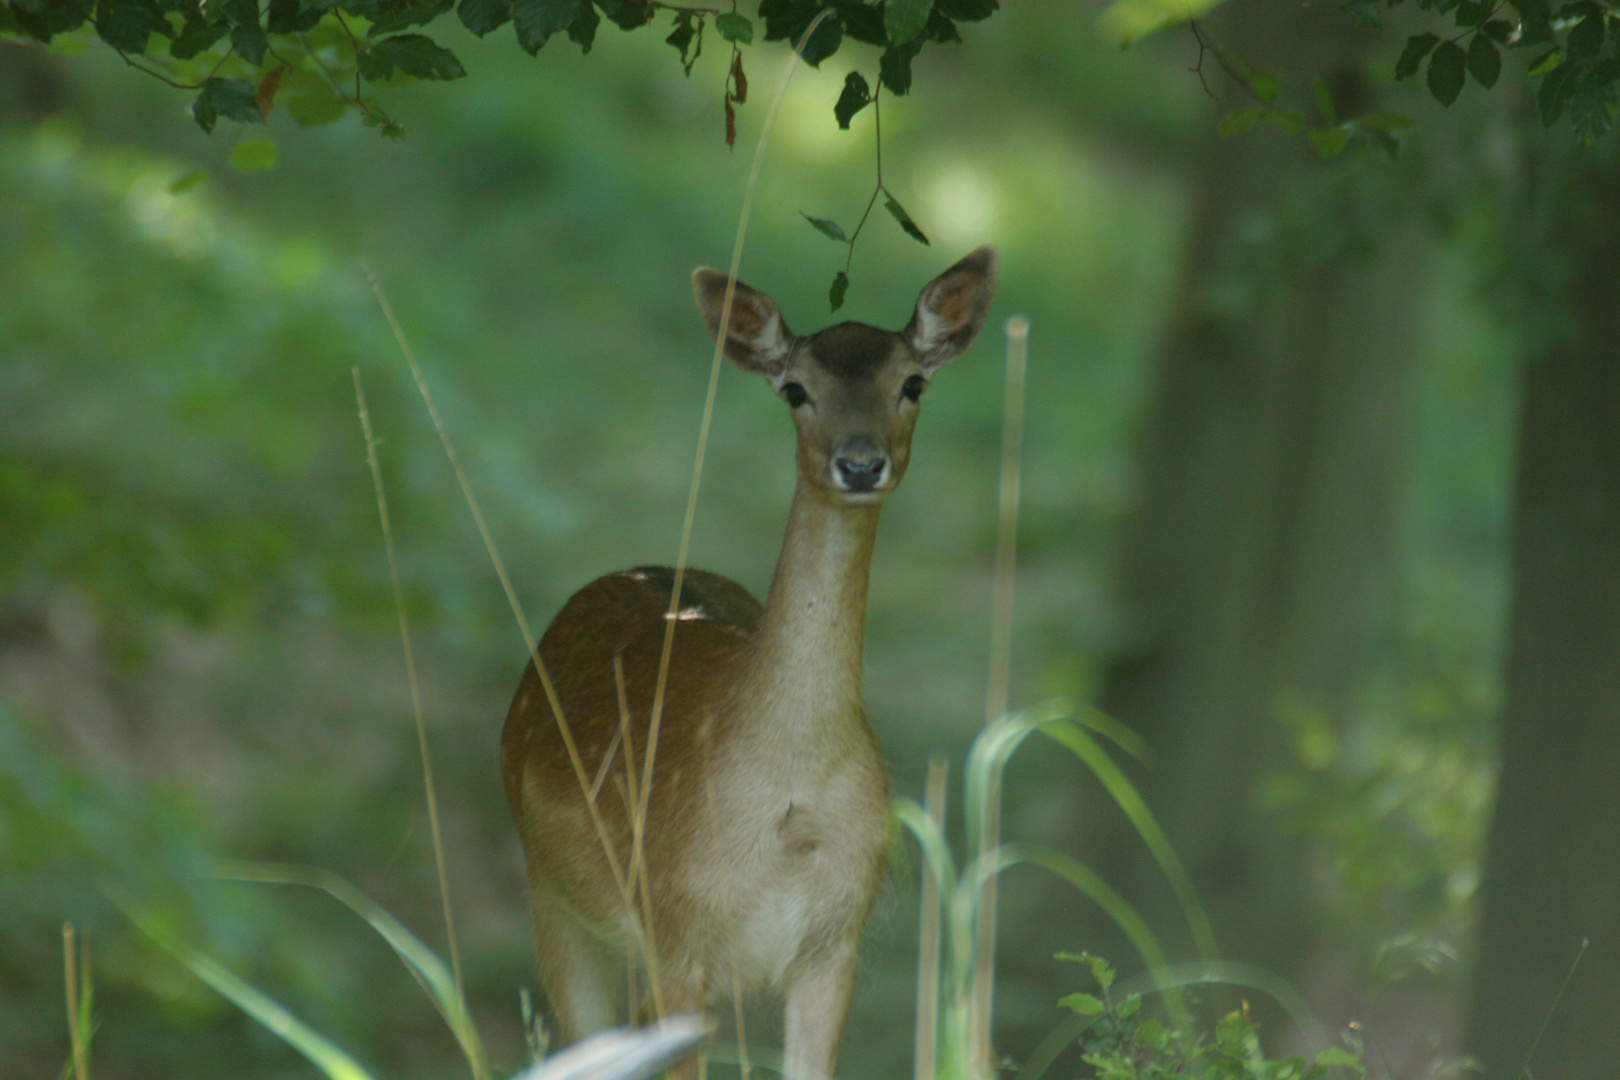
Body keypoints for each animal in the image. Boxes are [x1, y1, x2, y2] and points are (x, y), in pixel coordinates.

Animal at [498, 244, 991, 1080]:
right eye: (796, 389)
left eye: (913, 382)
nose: (861, 464)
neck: (789, 801)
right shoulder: (676, 930)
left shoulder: (836, 939)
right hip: (551, 897)